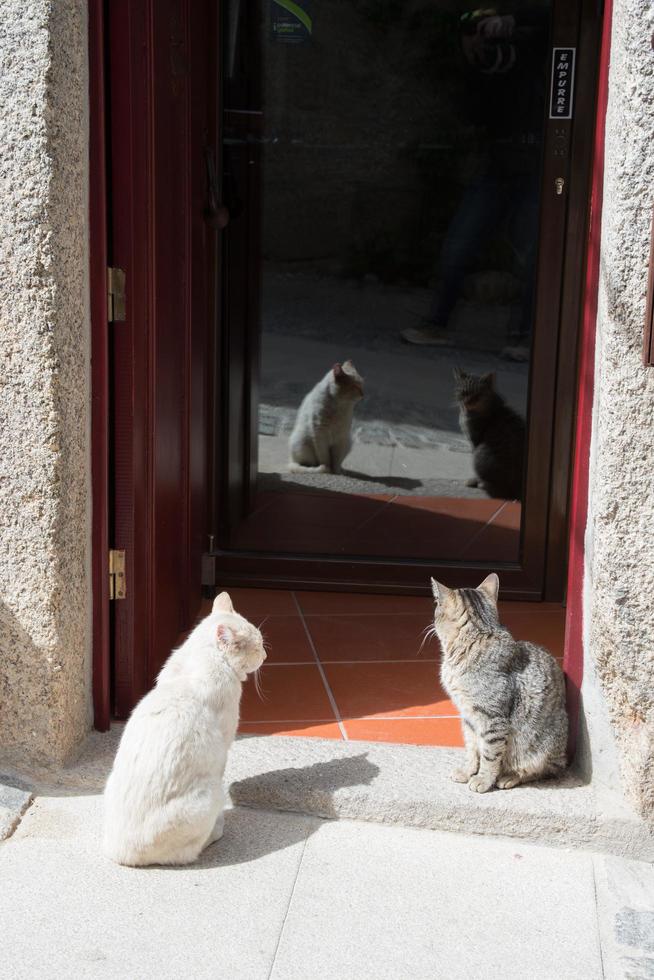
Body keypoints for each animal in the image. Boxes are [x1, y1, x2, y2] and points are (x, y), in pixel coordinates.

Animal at [102, 592, 266, 868]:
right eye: (258, 646)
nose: (265, 655)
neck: (200, 658)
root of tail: (122, 855)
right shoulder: (225, 743)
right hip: (212, 792)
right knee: (188, 853)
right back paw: (216, 830)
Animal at [430, 580, 568, 792]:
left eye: (437, 605)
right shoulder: (468, 717)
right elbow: (472, 748)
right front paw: (468, 771)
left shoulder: (493, 719)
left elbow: (489, 754)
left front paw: (483, 779)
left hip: (540, 749)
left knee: (543, 770)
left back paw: (510, 776)